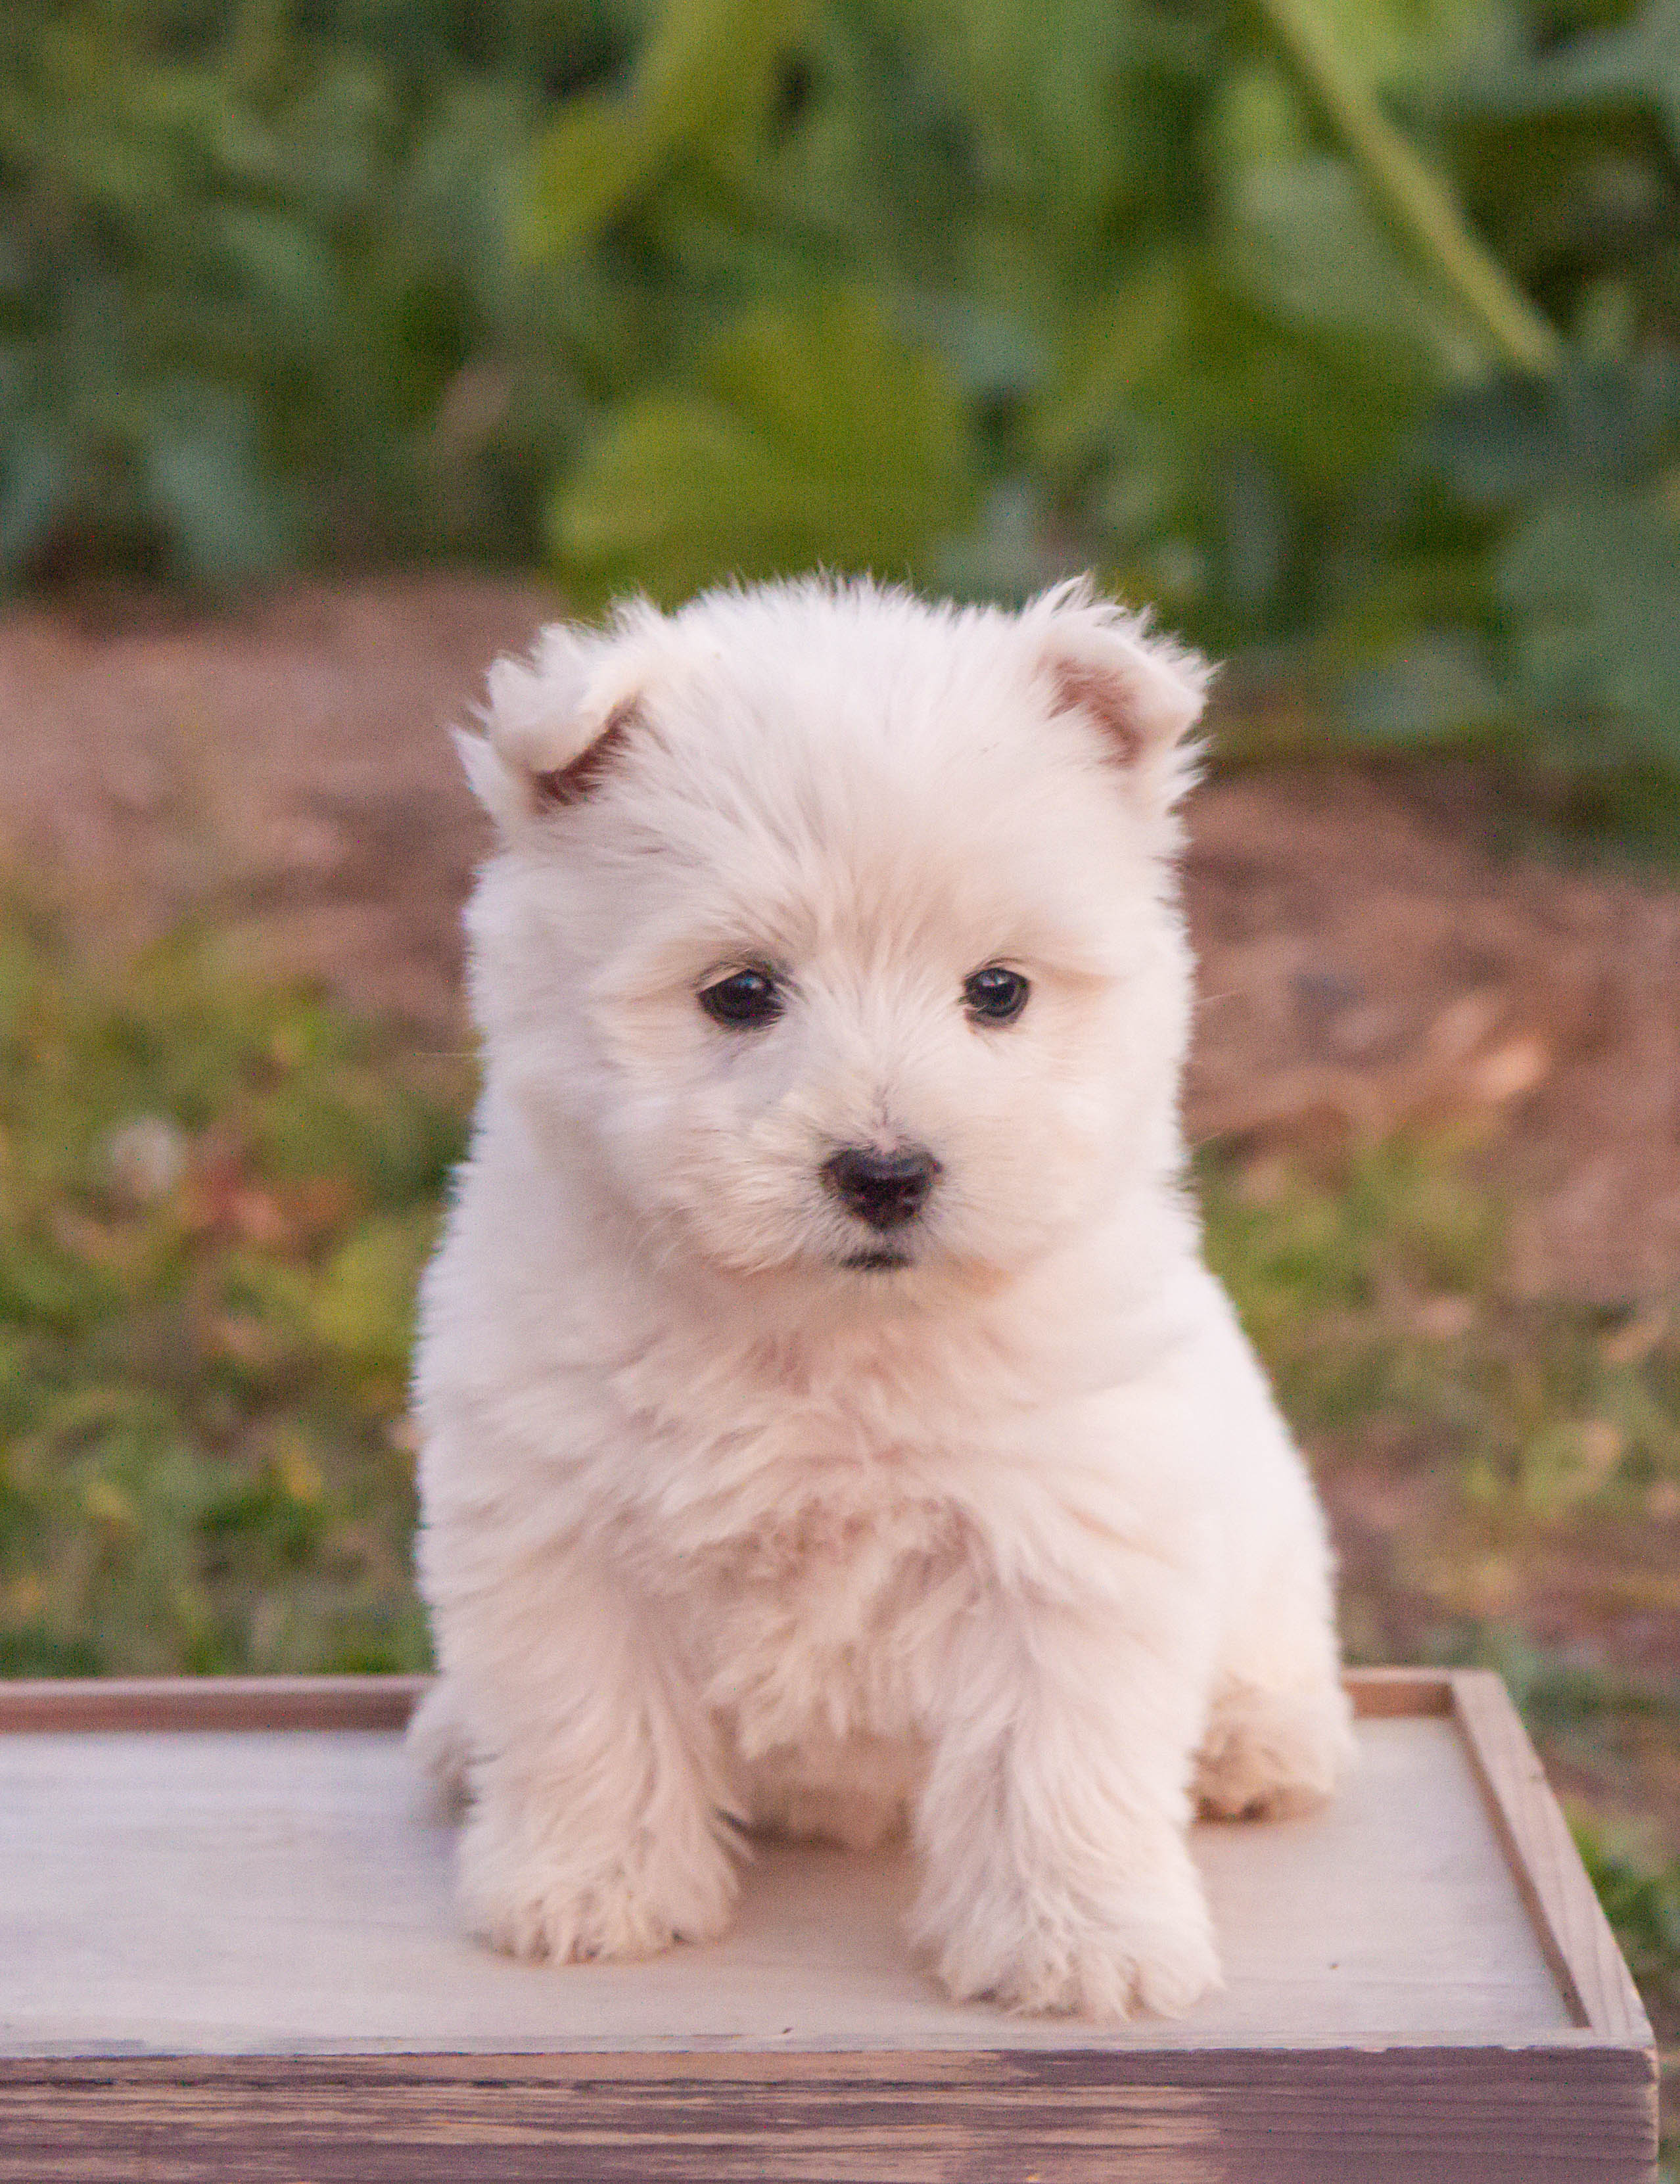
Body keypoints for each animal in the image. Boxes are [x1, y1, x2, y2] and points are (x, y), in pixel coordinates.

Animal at [410, 576, 1345, 2009]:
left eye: (998, 990)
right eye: (741, 991)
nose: (888, 1170)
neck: (828, 1340)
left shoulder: (1063, 1539)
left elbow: (1055, 1760)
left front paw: (1082, 1942)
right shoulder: (558, 1523)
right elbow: (591, 1718)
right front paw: (593, 1887)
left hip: (1268, 1534)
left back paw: (1259, 1742)